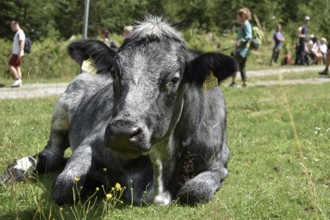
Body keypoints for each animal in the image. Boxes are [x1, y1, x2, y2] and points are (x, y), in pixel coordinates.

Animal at [0, 16, 237, 205]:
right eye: (114, 72)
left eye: (174, 79)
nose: (123, 132)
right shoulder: (91, 143)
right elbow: (64, 186)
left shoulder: (218, 165)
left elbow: (194, 192)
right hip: (60, 114)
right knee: (51, 155)